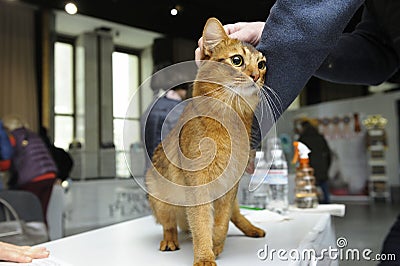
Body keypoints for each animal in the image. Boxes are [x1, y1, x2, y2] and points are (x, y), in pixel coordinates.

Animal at [145, 17, 268, 264]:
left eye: (261, 65)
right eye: (237, 60)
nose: (256, 76)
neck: (231, 119)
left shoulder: (229, 186)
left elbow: (221, 222)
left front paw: (216, 246)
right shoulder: (197, 184)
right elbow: (201, 222)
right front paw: (204, 256)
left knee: (235, 214)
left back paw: (252, 229)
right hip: (158, 194)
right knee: (169, 224)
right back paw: (170, 241)